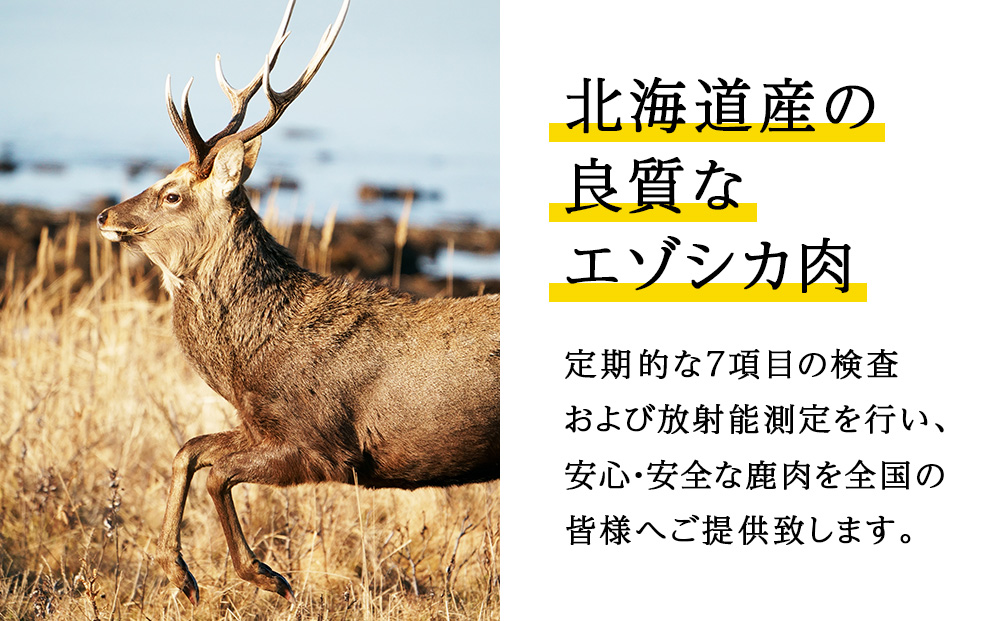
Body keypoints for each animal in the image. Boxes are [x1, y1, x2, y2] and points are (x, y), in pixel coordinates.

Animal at [96, 0, 498, 605]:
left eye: (172, 193)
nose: (105, 215)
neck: (251, 361)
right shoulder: (262, 425)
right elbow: (188, 449)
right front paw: (181, 575)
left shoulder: (325, 445)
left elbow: (216, 472)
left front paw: (264, 574)